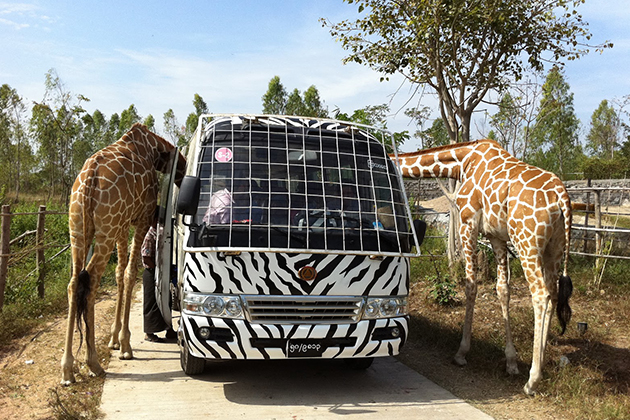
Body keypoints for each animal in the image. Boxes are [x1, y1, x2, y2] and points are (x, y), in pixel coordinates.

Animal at [60, 121, 186, 384]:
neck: (153, 149)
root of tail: (88, 180)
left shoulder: (122, 224)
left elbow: (119, 273)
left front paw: (114, 338)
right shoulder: (141, 218)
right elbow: (130, 273)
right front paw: (125, 345)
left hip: (77, 230)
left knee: (74, 282)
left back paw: (67, 369)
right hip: (104, 230)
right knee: (91, 280)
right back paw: (93, 363)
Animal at [398, 139, 576, 396]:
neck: (462, 162)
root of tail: (561, 196)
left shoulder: (468, 223)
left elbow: (471, 286)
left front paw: (461, 353)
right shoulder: (497, 237)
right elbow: (503, 290)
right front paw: (511, 361)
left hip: (527, 243)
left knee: (540, 295)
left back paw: (532, 380)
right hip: (555, 248)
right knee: (553, 294)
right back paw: (540, 364)